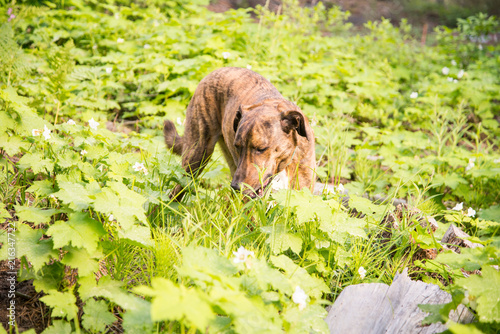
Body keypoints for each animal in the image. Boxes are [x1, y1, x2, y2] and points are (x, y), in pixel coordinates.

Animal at [163, 66, 316, 200]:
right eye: (238, 147)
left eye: (261, 149)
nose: (236, 186)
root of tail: (215, 71)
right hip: (196, 156)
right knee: (177, 191)